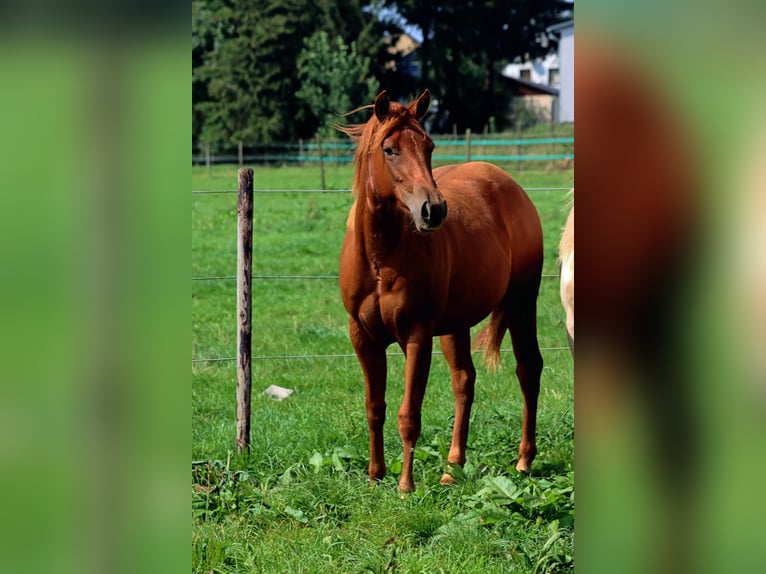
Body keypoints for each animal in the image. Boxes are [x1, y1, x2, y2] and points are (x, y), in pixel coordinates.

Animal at [338, 91, 544, 496]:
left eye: (429, 146)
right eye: (389, 149)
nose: (433, 209)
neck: (380, 258)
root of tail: (511, 187)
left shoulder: (416, 336)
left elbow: (408, 414)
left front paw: (405, 486)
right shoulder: (362, 337)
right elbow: (375, 407)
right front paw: (375, 476)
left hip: (521, 303)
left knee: (528, 369)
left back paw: (524, 460)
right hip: (456, 326)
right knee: (464, 381)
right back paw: (453, 468)